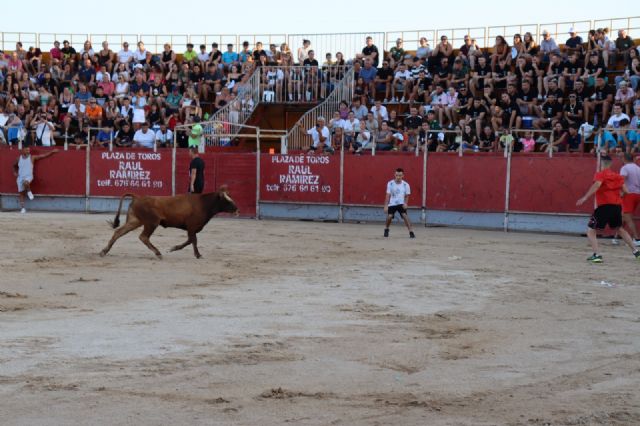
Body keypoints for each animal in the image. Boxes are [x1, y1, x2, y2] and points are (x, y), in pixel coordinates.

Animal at [99, 187, 239, 260]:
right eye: (227, 200)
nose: (237, 209)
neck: (203, 204)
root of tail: (137, 197)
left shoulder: (191, 228)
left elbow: (190, 240)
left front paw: (175, 248)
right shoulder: (192, 227)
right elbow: (193, 240)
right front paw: (197, 254)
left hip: (135, 221)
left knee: (118, 232)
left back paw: (104, 251)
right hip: (152, 222)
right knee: (143, 237)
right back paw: (158, 253)